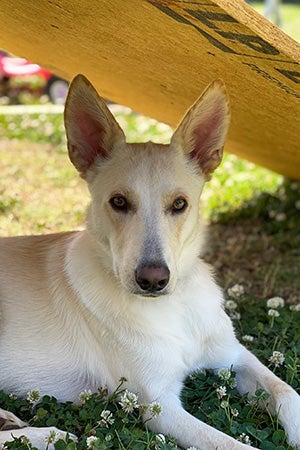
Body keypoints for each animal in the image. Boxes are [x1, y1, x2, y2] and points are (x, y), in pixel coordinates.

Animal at [0, 75, 300, 448]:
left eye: (179, 204)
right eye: (118, 201)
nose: (153, 280)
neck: (174, 307)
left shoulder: (233, 355)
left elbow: (288, 393)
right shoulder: (160, 406)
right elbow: (234, 444)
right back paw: (45, 434)